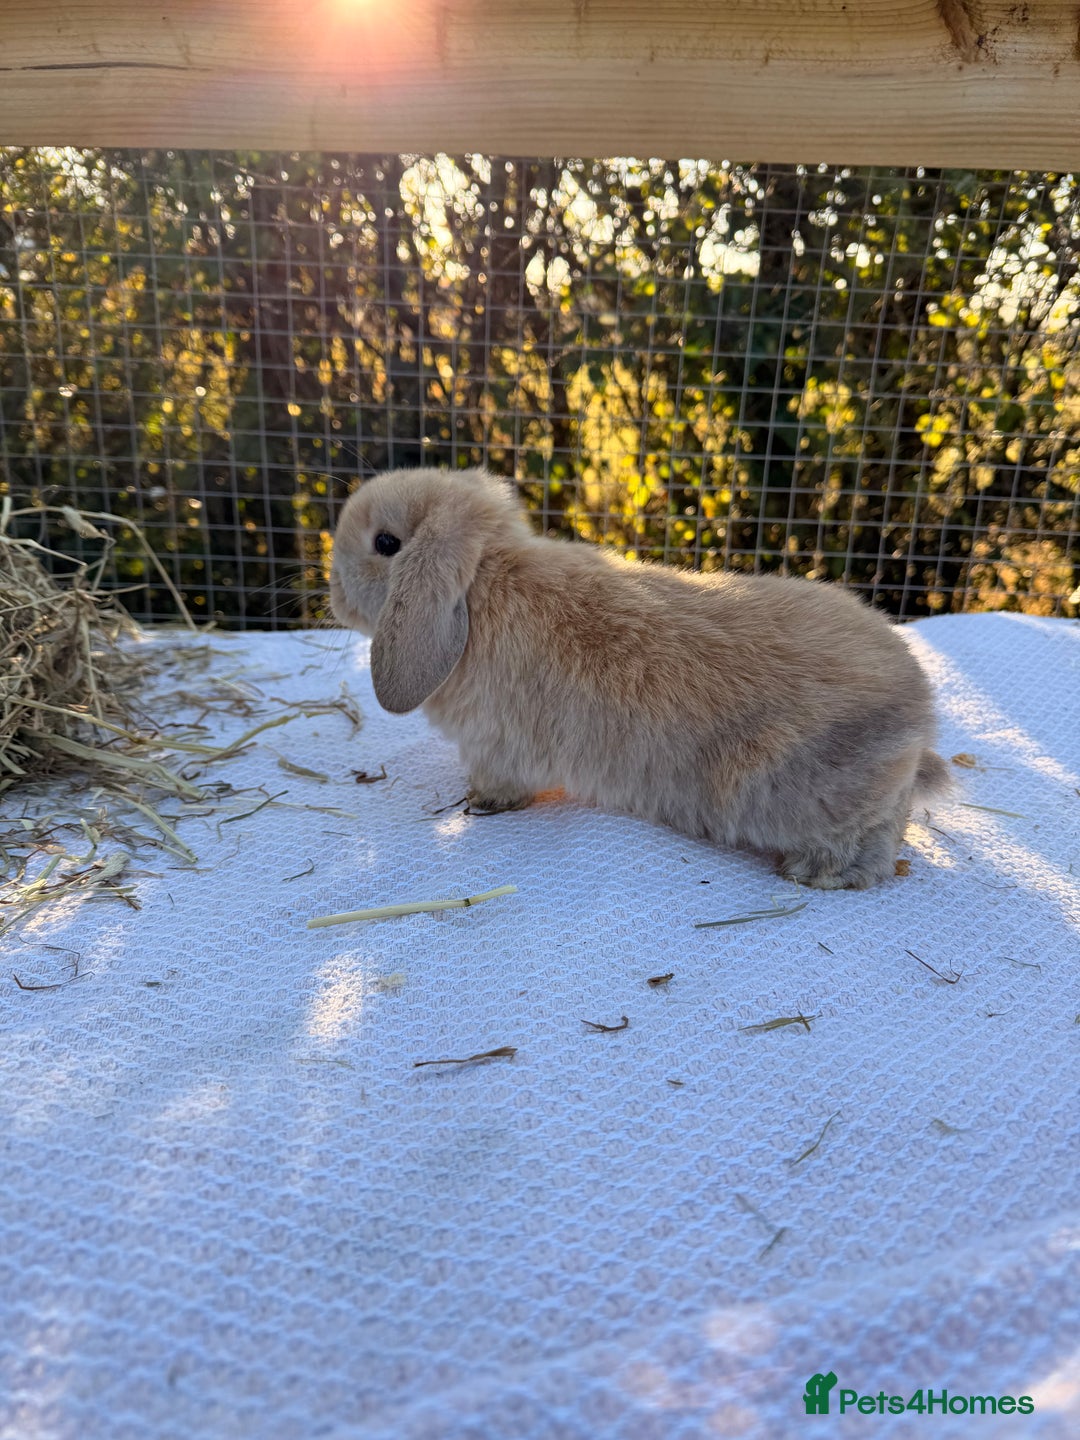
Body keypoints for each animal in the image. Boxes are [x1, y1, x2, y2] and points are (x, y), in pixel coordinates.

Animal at [330, 467, 950, 889]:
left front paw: (482, 804)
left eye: (385, 544)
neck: (483, 584)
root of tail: (919, 720)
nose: (333, 595)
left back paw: (815, 874)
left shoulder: (499, 747)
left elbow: (503, 782)